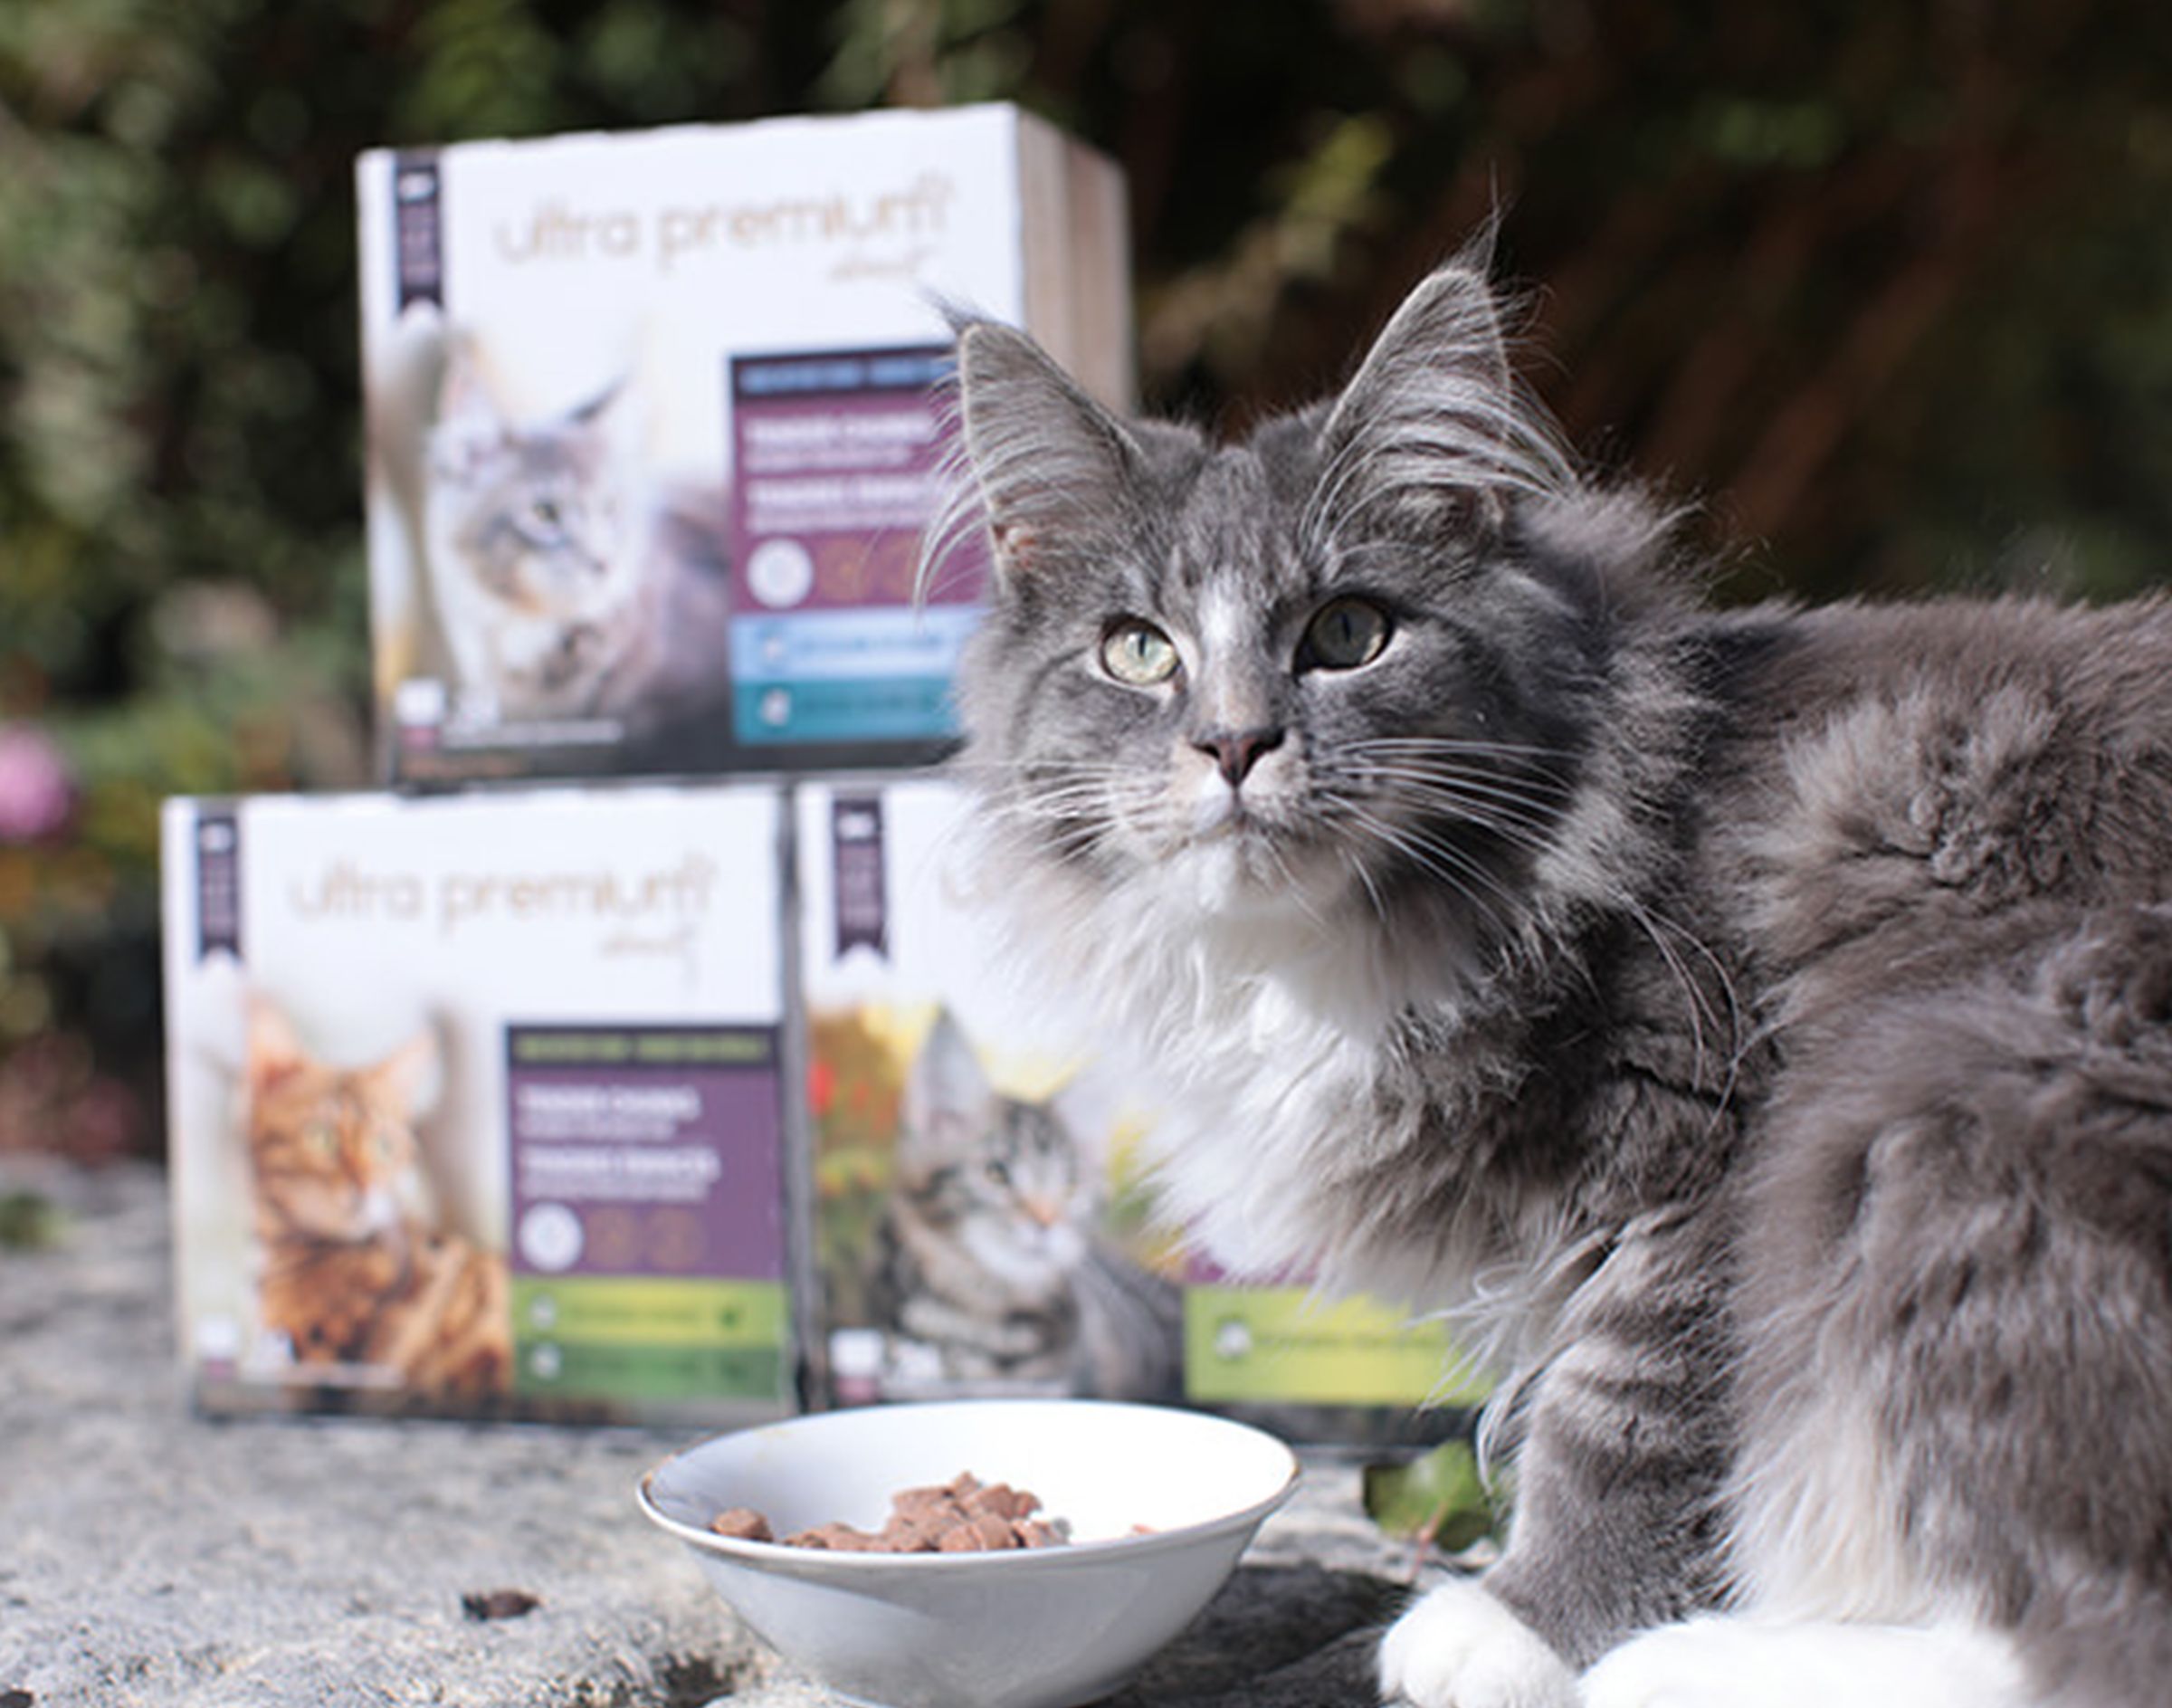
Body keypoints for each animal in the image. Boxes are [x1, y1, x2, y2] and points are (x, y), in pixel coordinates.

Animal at [947, 256, 2172, 1703]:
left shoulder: (1713, 1144)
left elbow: (1623, 1410)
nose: (1235, 743)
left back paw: (1686, 1658)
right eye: (1138, 650)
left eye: (1347, 632)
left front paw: (1520, 1624)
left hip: (1943, 1106)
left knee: (2080, 1627)